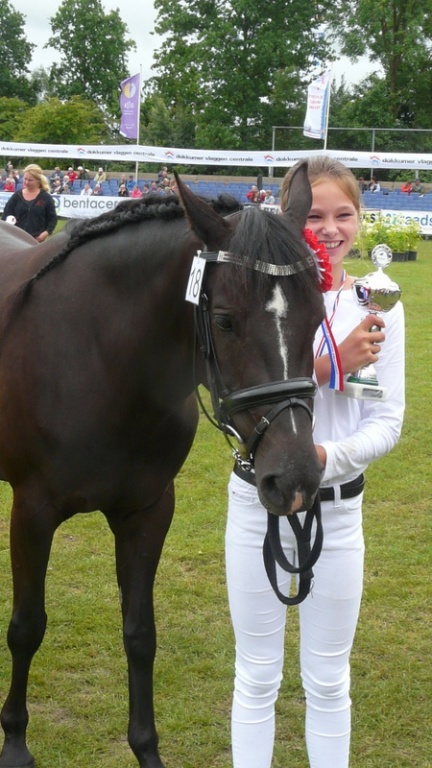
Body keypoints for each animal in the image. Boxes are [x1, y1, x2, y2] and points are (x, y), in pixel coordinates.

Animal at [0, 165, 325, 768]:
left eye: (317, 316)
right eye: (224, 320)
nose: (294, 478)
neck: (101, 356)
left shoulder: (148, 512)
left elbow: (139, 634)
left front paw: (146, 749)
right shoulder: (32, 511)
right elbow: (27, 627)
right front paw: (14, 742)